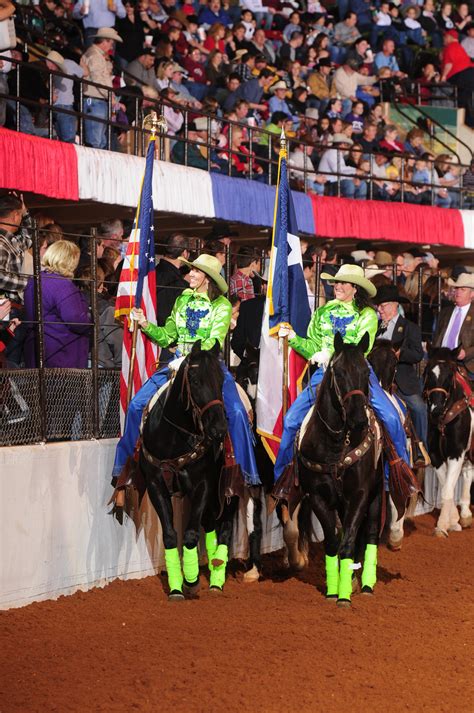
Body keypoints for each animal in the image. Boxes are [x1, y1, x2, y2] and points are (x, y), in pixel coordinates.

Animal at [140, 342, 236, 596]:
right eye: (194, 380)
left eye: (221, 379)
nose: (219, 429)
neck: (174, 437)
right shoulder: (156, 484)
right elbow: (170, 535)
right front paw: (176, 587)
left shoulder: (204, 484)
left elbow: (191, 534)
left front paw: (191, 580)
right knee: (211, 523)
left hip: (231, 487)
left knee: (225, 526)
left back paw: (216, 579)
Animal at [424, 344, 472, 536]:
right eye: (428, 372)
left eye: (450, 375)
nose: (435, 410)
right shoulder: (435, 455)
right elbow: (446, 486)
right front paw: (454, 520)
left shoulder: (456, 453)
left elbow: (446, 490)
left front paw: (442, 525)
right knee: (468, 474)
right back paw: (465, 514)